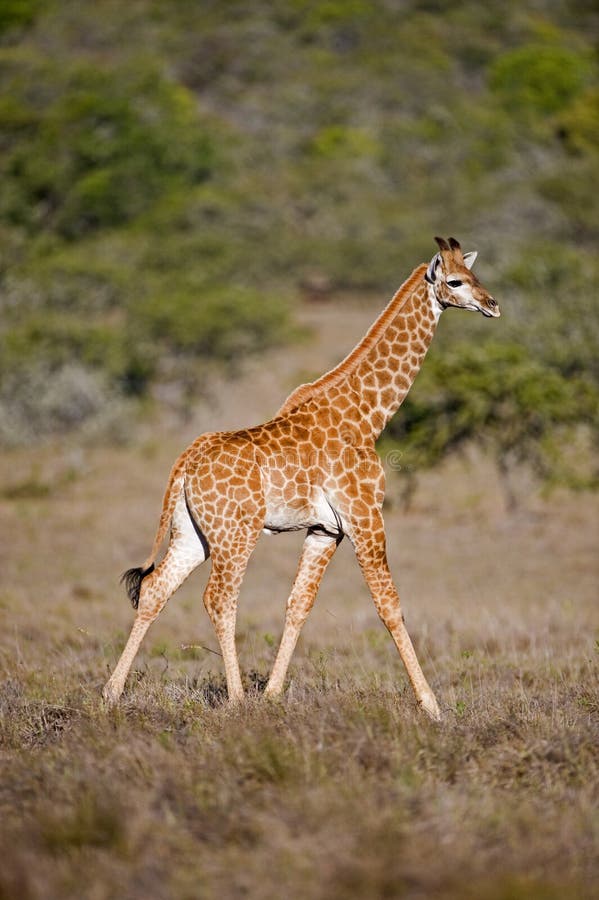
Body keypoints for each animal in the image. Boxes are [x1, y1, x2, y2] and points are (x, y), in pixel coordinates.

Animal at [104, 236, 502, 720]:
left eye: (476, 274)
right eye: (456, 281)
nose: (492, 305)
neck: (368, 416)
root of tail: (186, 462)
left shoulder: (325, 529)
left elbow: (298, 604)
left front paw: (273, 694)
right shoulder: (365, 517)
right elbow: (389, 606)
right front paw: (431, 706)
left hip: (192, 532)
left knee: (155, 588)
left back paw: (111, 694)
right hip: (236, 534)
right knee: (219, 599)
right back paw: (236, 699)